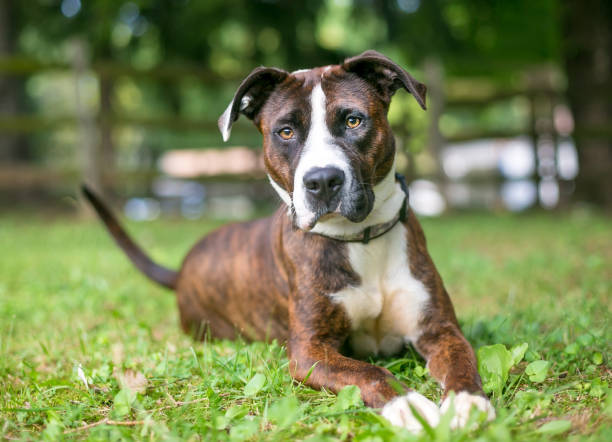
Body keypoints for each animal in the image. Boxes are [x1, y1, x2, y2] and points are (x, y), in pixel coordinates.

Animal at [83, 49, 494, 432]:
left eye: (353, 120)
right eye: (285, 131)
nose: (323, 180)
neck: (360, 241)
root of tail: (181, 270)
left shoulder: (440, 329)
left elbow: (461, 360)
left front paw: (468, 402)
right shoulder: (309, 351)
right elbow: (369, 372)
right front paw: (409, 406)